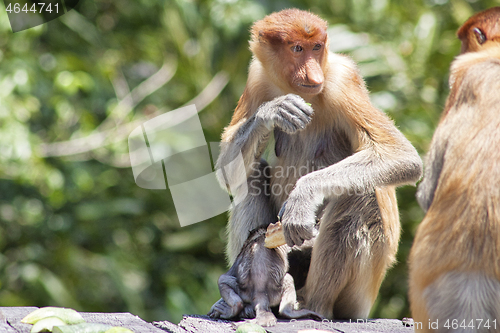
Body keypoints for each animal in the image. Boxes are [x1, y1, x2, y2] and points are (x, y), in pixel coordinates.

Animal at [218, 8, 422, 320]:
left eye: (316, 48)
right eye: (297, 49)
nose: (314, 75)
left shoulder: (342, 82)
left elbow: (400, 155)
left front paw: (302, 199)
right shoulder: (257, 77)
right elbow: (227, 172)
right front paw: (275, 111)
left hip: (357, 295)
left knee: (361, 193)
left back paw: (308, 305)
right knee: (251, 172)